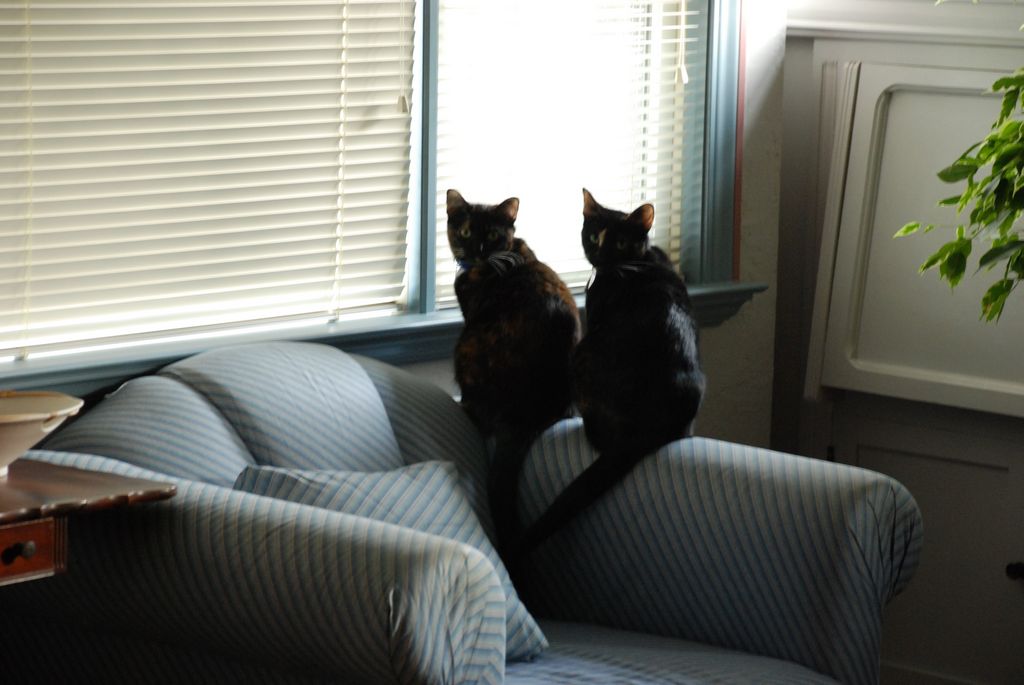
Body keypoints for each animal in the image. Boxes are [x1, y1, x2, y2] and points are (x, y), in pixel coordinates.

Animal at [516, 188, 705, 555]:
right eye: (593, 236)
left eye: (619, 242)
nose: (599, 253)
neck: (637, 261)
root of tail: (649, 427)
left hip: (581, 355)